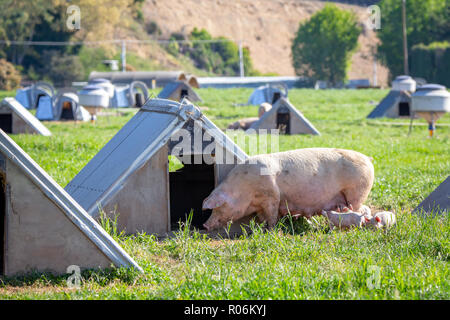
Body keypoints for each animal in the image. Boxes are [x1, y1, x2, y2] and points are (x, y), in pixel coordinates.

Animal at [202, 149, 374, 231]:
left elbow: (272, 215)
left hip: (357, 191)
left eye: (218, 207)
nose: (204, 225)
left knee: (361, 209)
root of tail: (367, 158)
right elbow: (262, 217)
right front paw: (261, 227)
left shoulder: (271, 196)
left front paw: (270, 230)